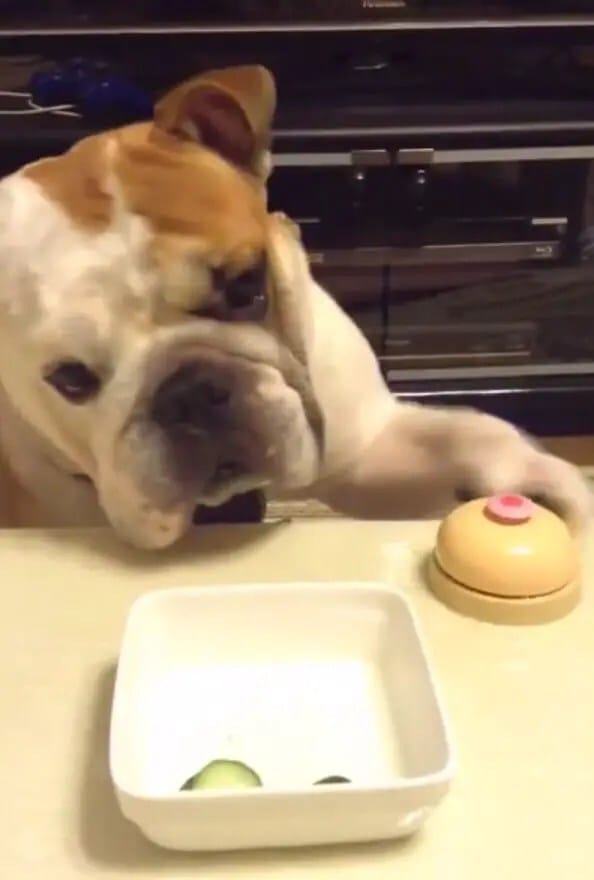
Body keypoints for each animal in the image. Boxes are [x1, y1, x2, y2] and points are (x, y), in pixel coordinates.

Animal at [0, 64, 590, 547]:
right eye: (70, 380)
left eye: (247, 286)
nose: (189, 393)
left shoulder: (365, 451)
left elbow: (464, 432)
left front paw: (541, 476)